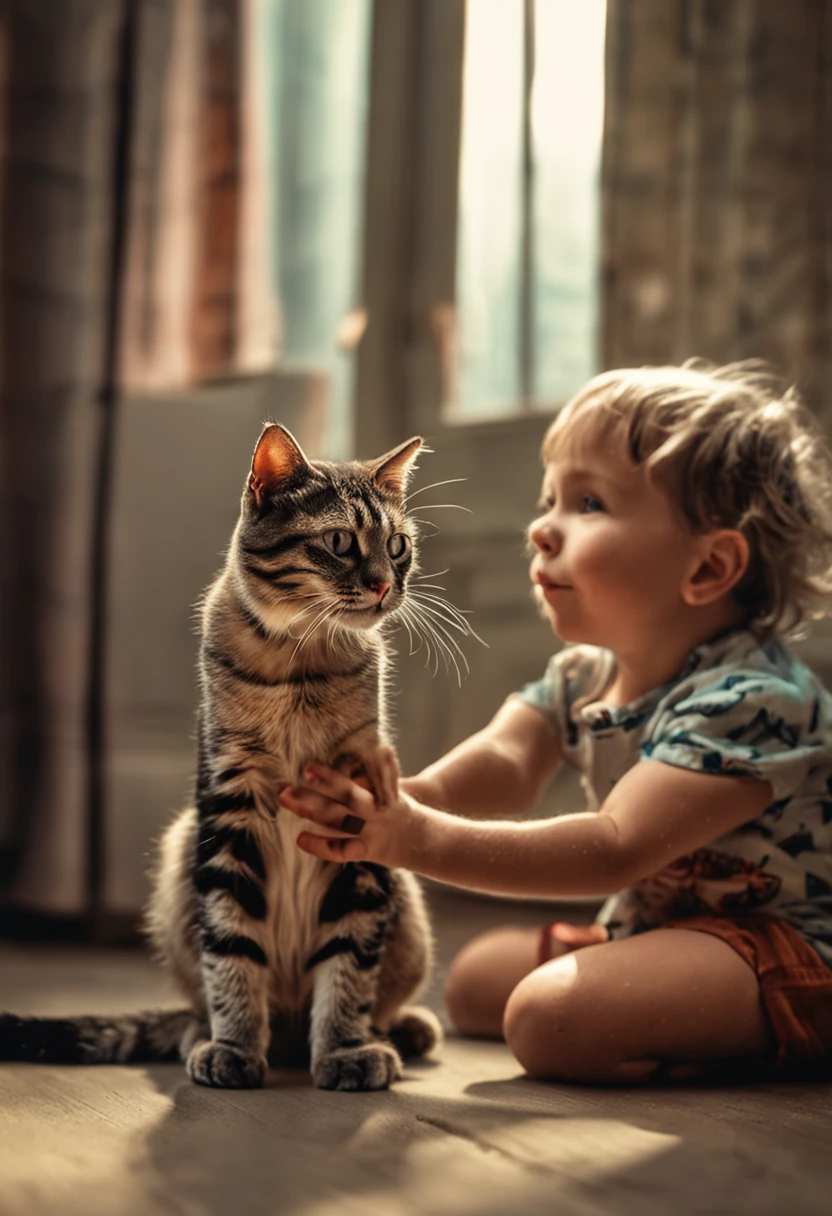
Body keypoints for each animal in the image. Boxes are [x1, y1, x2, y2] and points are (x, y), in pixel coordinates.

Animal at [0, 425, 474, 1094]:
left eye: (399, 545)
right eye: (339, 541)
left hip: (402, 896)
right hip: (182, 852)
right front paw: (235, 1046)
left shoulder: (359, 814)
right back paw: (205, 1035)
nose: (388, 584)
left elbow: (351, 961)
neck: (302, 661)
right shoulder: (228, 806)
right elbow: (230, 949)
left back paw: (397, 1029)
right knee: (199, 1001)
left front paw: (346, 1049)